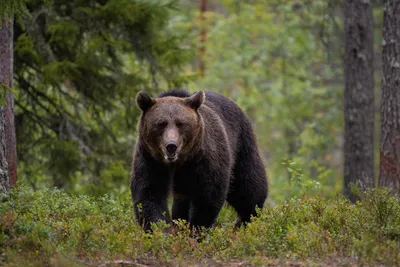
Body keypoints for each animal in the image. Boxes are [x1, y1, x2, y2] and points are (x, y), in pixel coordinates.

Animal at [131, 90, 268, 232]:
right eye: (161, 123)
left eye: (180, 123)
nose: (171, 145)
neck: (179, 161)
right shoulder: (151, 159)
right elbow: (149, 194)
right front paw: (163, 230)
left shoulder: (204, 159)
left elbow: (208, 197)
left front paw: (196, 230)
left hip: (242, 146)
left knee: (248, 188)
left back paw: (245, 221)